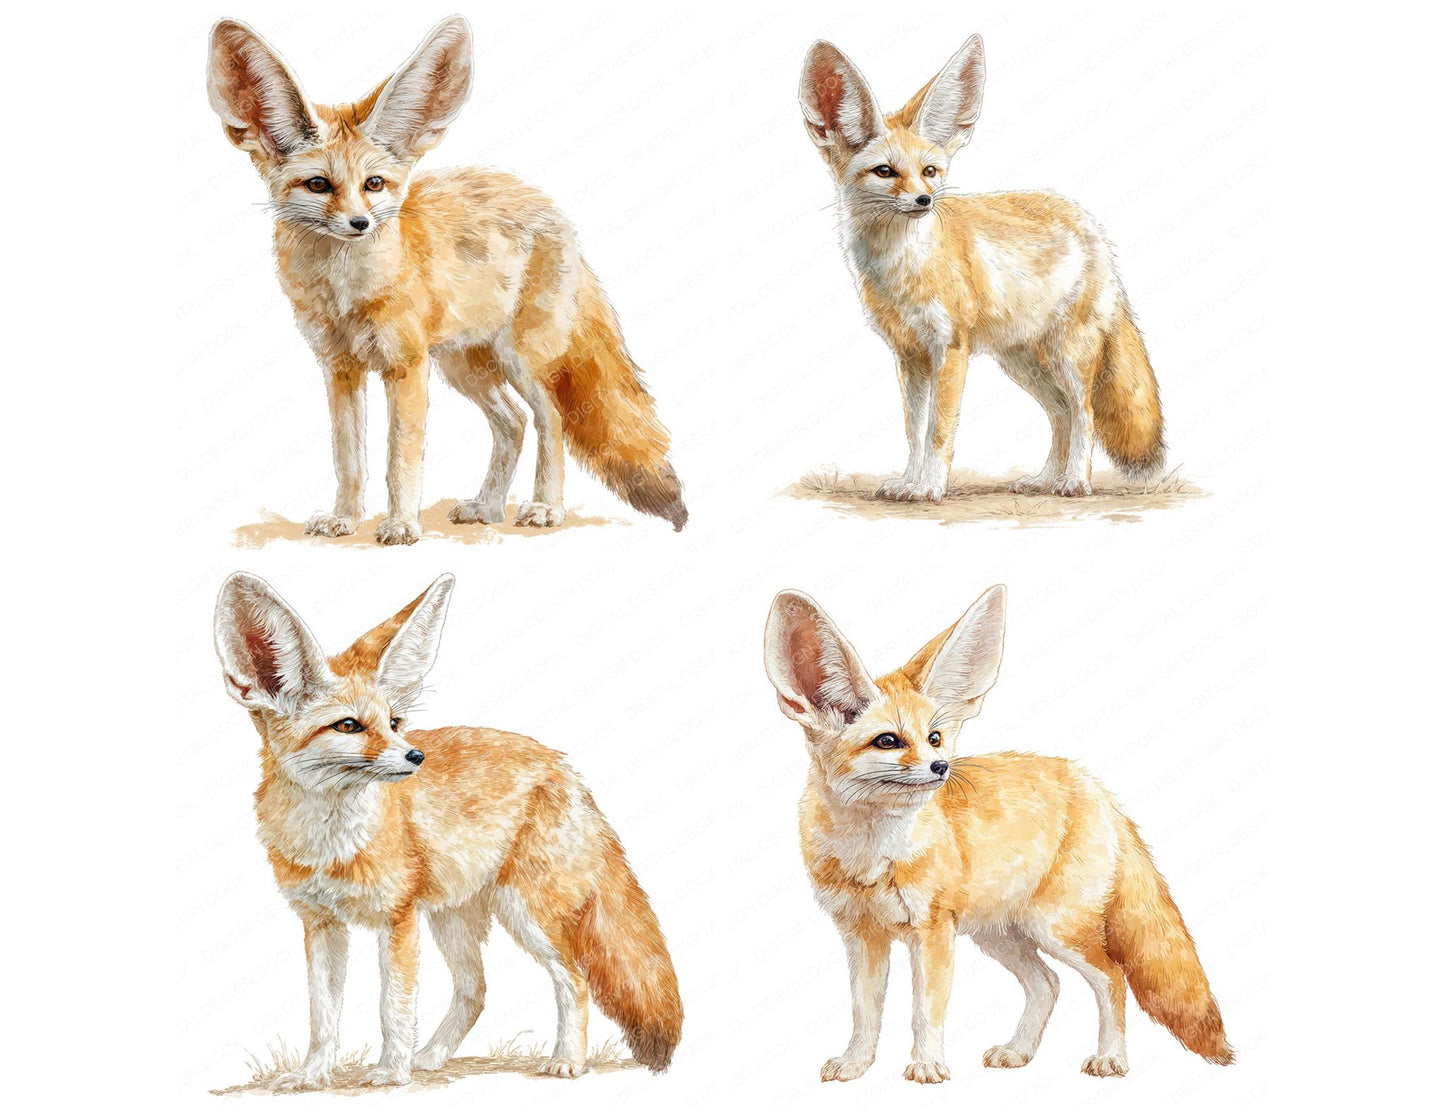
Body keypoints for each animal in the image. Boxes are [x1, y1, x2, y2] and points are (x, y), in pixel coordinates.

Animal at [206, 17, 687, 543]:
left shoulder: (405, 366)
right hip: (465, 367)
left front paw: (400, 525)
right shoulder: (340, 368)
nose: (359, 224)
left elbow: (401, 458)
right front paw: (344, 519)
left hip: (519, 361)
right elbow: (349, 459)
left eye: (374, 184)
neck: (346, 293)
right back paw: (488, 505)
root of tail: (547, 206)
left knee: (553, 419)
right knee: (512, 423)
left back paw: (545, 507)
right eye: (318, 185)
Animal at [212, 572, 683, 1089]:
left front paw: (391, 1072)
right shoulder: (321, 923)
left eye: (394, 722)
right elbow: (323, 1015)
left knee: (573, 981)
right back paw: (433, 1055)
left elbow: (394, 1007)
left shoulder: (397, 918)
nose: (416, 756)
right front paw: (313, 1074)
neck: (331, 845)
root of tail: (562, 766)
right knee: (476, 989)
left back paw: (566, 1060)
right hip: (452, 917)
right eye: (349, 726)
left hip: (526, 915)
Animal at [763, 586, 1232, 1083]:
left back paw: (1111, 1058)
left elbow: (925, 1010)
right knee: (1048, 983)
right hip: (1002, 935)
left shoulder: (932, 932)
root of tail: (1090, 783)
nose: (942, 767)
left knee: (1112, 977)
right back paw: (1018, 1051)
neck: (872, 855)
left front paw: (927, 1065)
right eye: (888, 741)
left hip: (1056, 929)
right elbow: (864, 1012)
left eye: (934, 738)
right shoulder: (861, 934)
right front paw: (855, 1064)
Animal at [799, 38, 1165, 501]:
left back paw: (1074, 481)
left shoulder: (949, 349)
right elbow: (914, 431)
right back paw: (1045, 480)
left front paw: (929, 488)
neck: (902, 270)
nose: (924, 201)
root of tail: (1090, 226)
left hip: (1067, 356)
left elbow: (938, 432)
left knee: (1084, 414)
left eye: (929, 172)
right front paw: (908, 482)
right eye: (885, 171)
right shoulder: (910, 355)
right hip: (1024, 363)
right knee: (1061, 415)